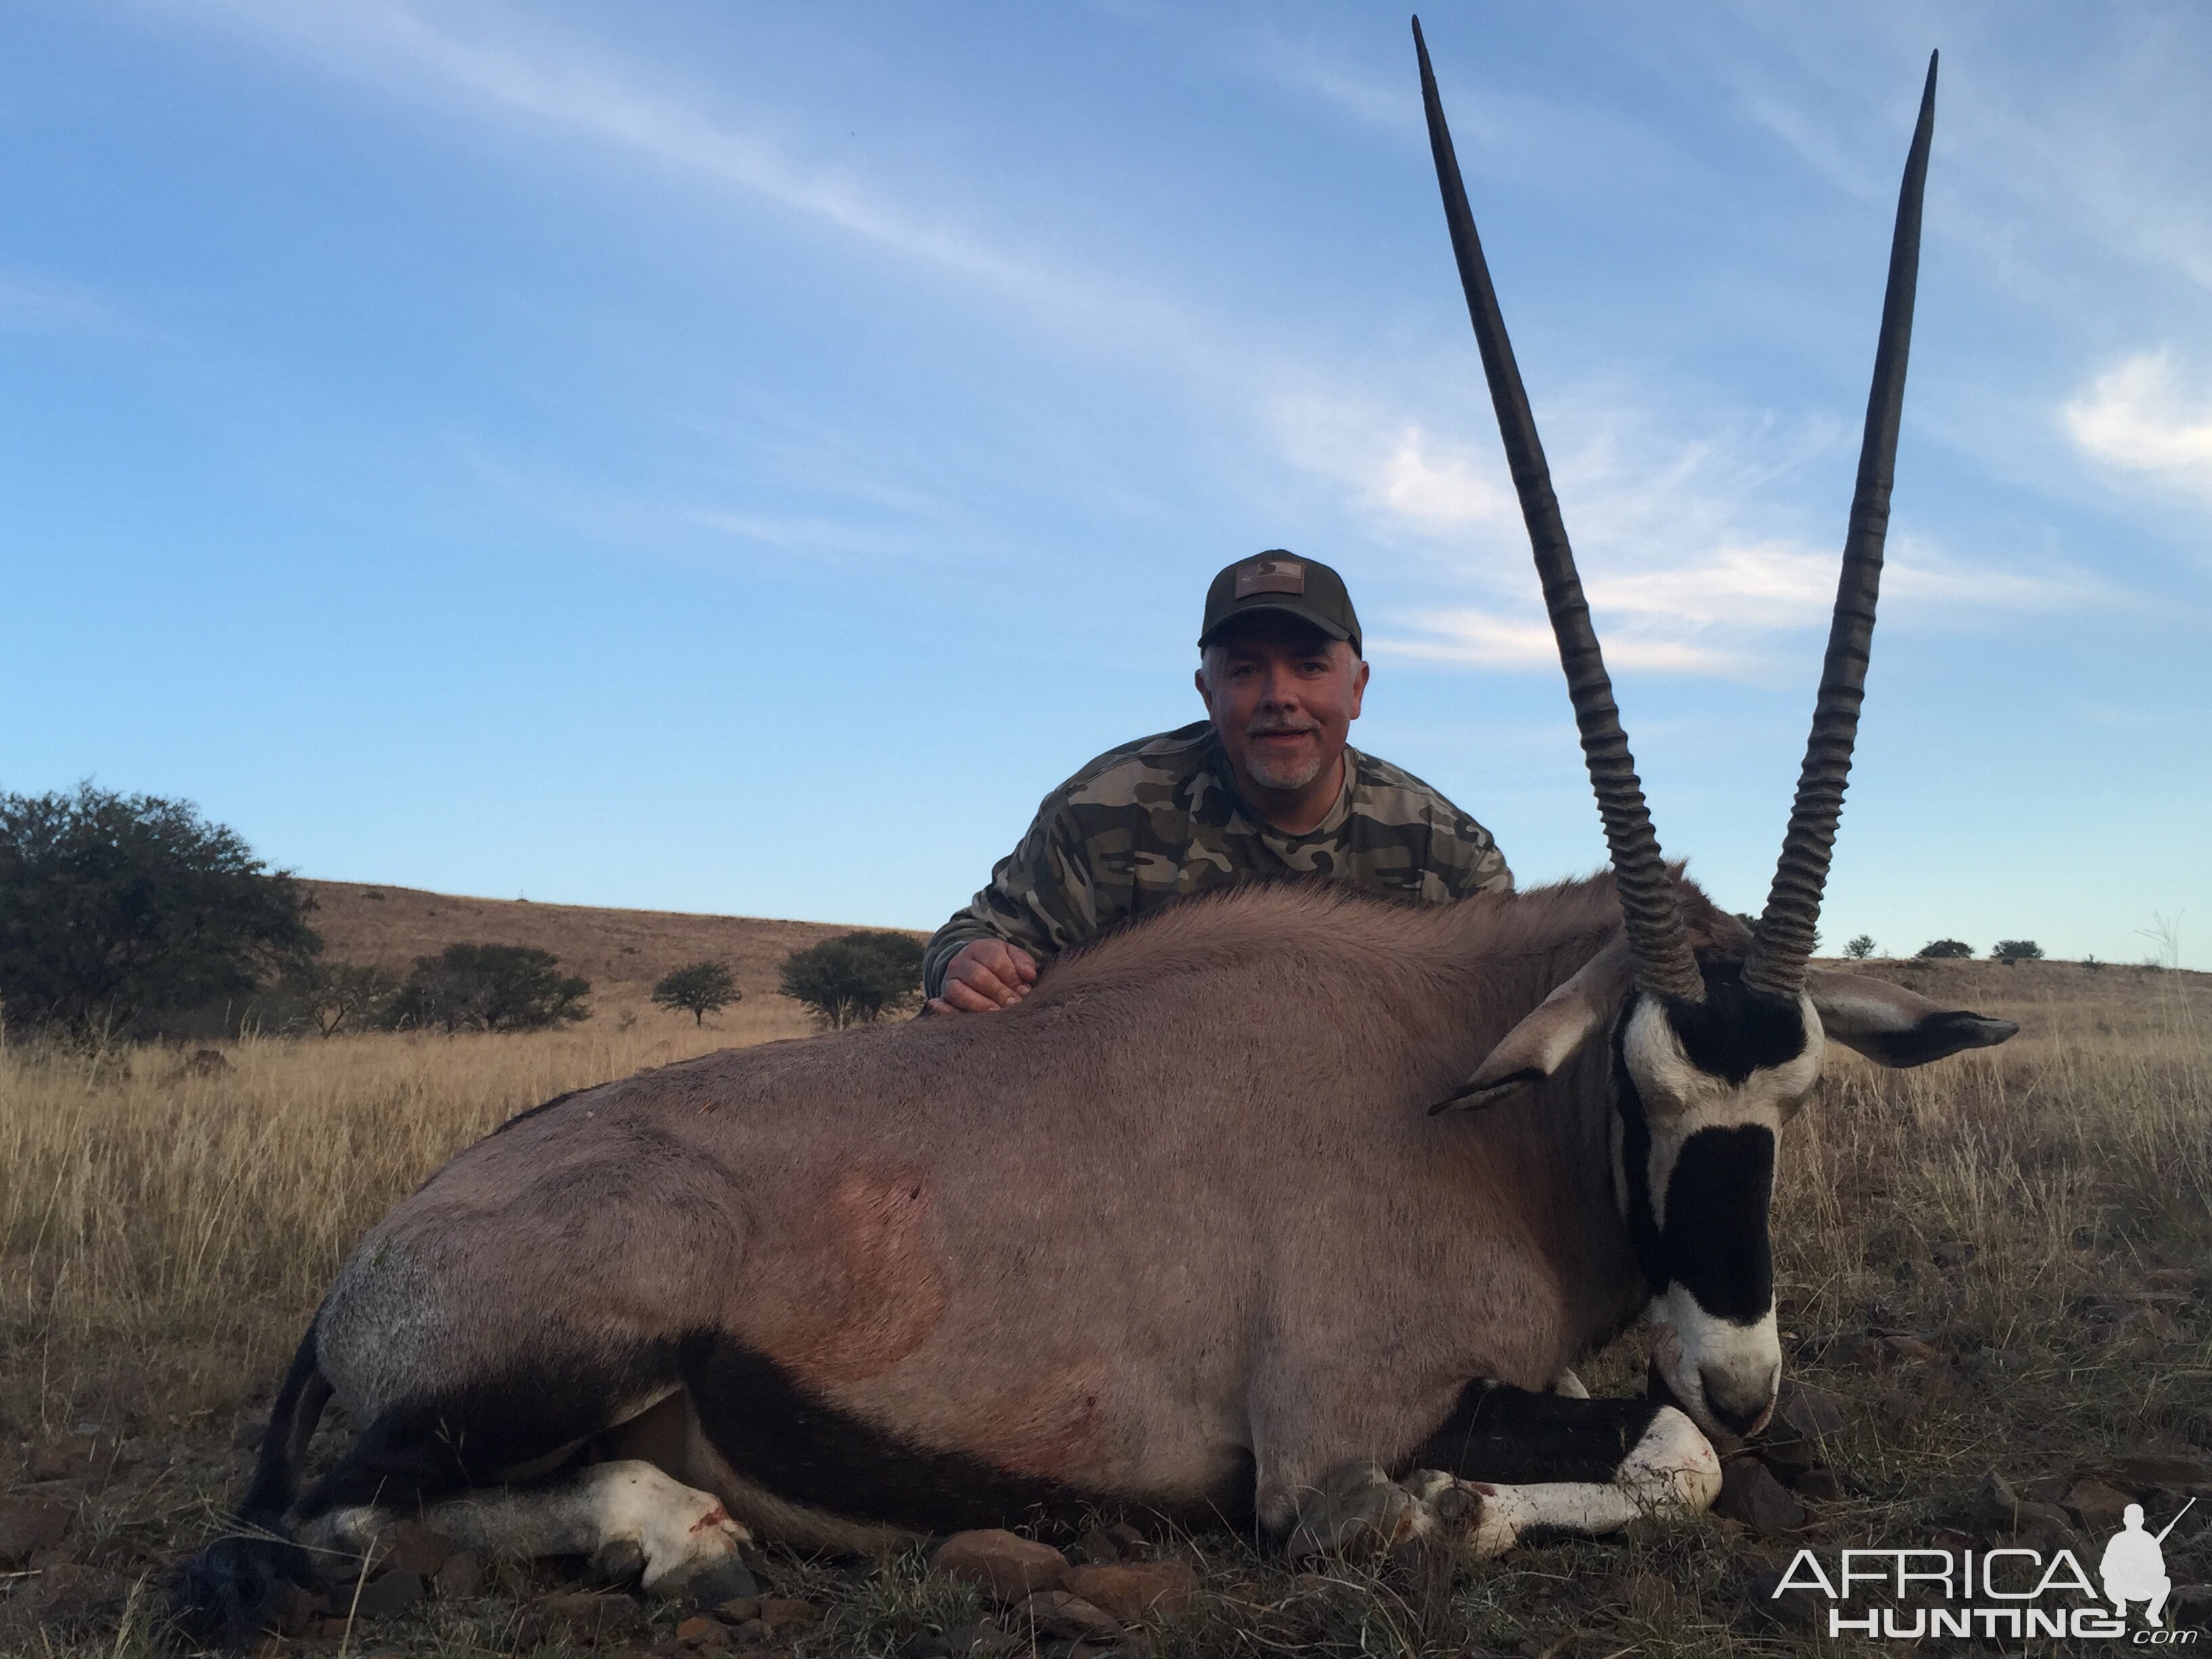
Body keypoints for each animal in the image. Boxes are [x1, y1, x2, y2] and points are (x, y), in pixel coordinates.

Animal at [177, 22, 2008, 1654]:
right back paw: (677, 1537)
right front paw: (1480, 1503)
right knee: (328, 1519)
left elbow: (1674, 1446)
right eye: (1641, 1089)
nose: (1743, 1370)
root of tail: (379, 1259)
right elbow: (1623, 1469)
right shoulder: (1332, 1433)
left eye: (1798, 1097)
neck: (1466, 1095)